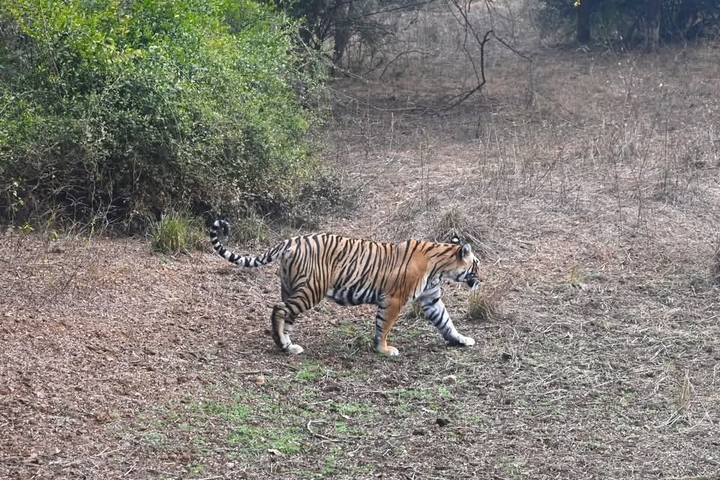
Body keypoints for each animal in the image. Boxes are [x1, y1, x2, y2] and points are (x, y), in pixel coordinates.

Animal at [209, 219, 481, 356]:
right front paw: (383, 349)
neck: (440, 267)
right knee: (279, 309)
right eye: (476, 265)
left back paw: (288, 344)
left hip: (291, 287)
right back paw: (284, 346)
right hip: (311, 290)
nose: (481, 280)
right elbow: (384, 325)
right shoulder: (394, 298)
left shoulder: (431, 299)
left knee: (286, 315)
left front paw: (461, 340)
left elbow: (446, 322)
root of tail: (290, 240)